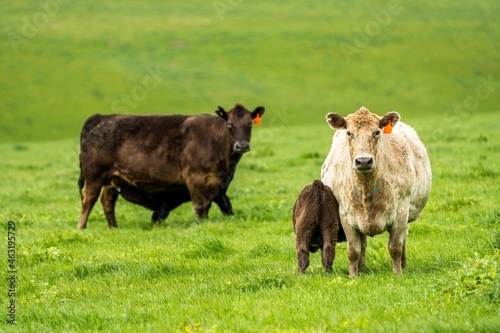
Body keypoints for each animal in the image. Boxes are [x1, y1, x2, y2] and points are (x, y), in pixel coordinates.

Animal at [322, 106, 432, 274]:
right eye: (349, 133)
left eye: (377, 132)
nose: (363, 161)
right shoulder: (345, 214)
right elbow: (353, 250)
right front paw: (353, 275)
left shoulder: (401, 211)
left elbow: (395, 247)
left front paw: (398, 273)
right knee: (363, 243)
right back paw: (362, 269)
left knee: (403, 241)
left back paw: (404, 266)